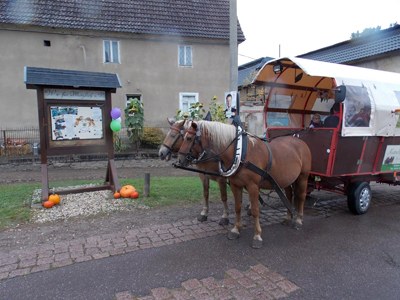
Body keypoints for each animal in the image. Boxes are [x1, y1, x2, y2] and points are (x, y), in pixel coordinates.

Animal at [177, 119, 310, 248]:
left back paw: (298, 220)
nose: (179, 160)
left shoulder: (253, 186)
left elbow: (255, 210)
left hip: (303, 177)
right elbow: (237, 207)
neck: (241, 153)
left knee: (301, 196)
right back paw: (288, 217)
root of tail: (299, 141)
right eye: (183, 137)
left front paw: (257, 236)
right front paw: (236, 230)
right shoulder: (236, 185)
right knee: (288, 195)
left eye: (189, 138)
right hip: (287, 179)